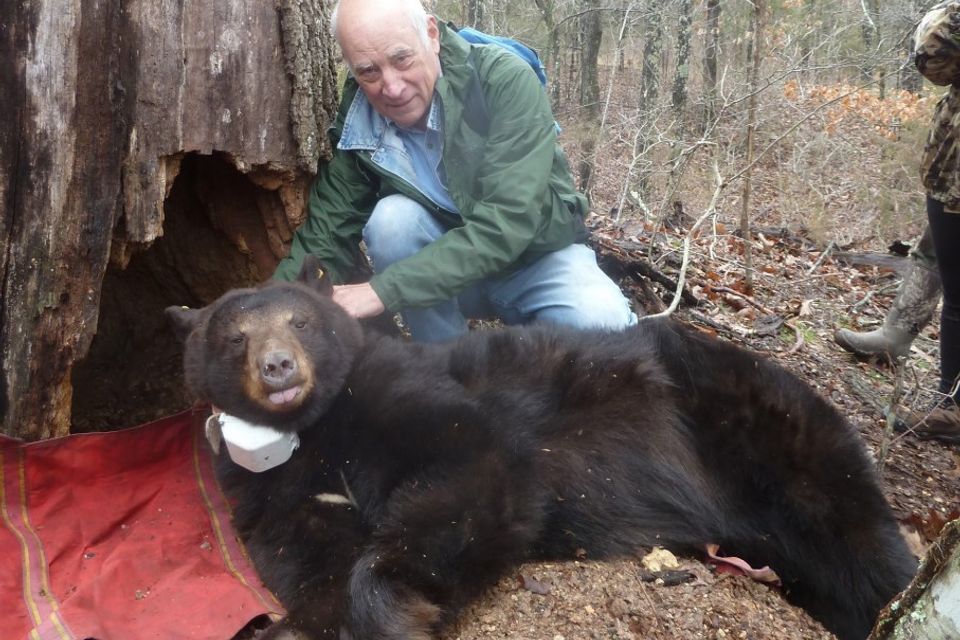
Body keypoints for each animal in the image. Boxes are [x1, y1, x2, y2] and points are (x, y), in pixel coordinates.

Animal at [166, 255, 915, 640]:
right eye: (234, 335)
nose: (278, 368)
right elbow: (306, 560)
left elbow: (477, 466)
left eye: (299, 320)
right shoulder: (270, 490)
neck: (314, 432)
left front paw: (398, 606)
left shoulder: (403, 395)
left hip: (763, 430)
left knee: (862, 547)